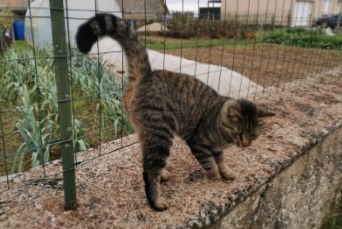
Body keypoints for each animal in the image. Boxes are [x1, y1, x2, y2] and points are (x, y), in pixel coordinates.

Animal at [75, 13, 276, 211]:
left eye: (253, 134)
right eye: (239, 132)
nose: (246, 144)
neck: (220, 128)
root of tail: (148, 74)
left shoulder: (217, 148)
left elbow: (221, 159)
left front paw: (226, 171)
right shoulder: (198, 142)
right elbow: (209, 162)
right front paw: (215, 175)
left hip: (146, 132)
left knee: (146, 158)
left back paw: (162, 174)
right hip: (161, 133)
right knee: (149, 170)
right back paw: (156, 201)